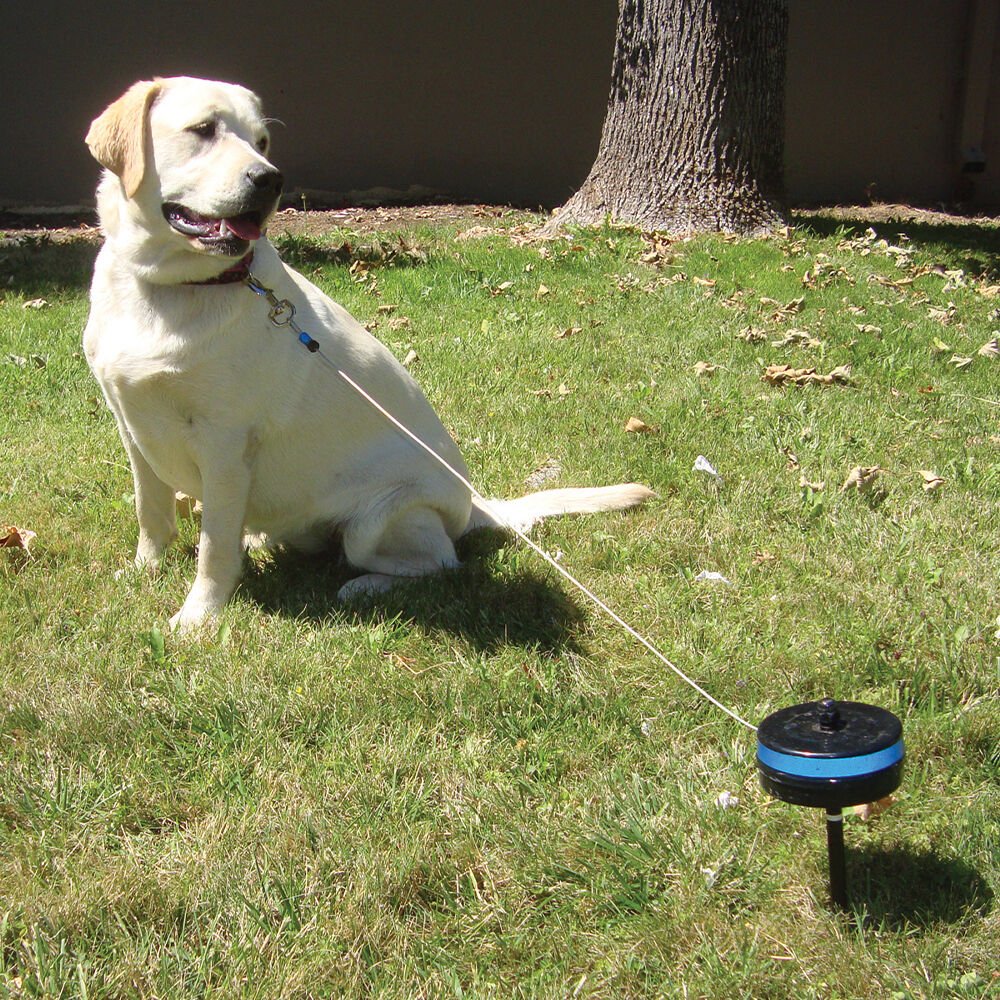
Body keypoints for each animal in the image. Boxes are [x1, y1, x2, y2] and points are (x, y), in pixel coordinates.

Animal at [86, 74, 656, 628]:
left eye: (262, 141)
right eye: (203, 129)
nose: (271, 179)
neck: (170, 287)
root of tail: (475, 504)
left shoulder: (225, 443)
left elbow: (213, 546)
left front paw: (198, 617)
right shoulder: (132, 427)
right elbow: (151, 512)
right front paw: (144, 570)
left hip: (381, 519)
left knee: (441, 564)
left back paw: (364, 587)